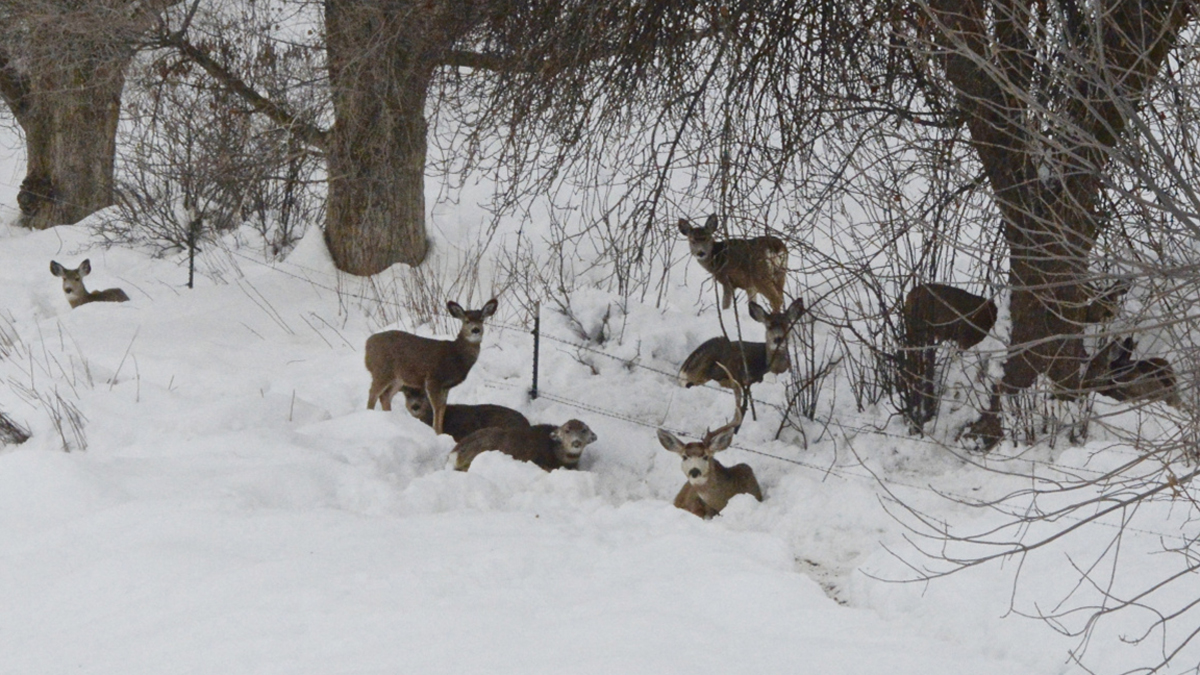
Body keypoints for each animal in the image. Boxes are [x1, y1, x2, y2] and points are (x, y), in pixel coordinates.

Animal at [364, 297, 496, 432]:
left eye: (481, 320)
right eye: (467, 321)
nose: (475, 330)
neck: (456, 355)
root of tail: (368, 343)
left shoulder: (445, 386)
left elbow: (442, 407)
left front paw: (440, 432)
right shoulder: (434, 379)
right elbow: (436, 407)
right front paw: (436, 431)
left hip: (398, 378)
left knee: (385, 396)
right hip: (382, 370)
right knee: (373, 393)